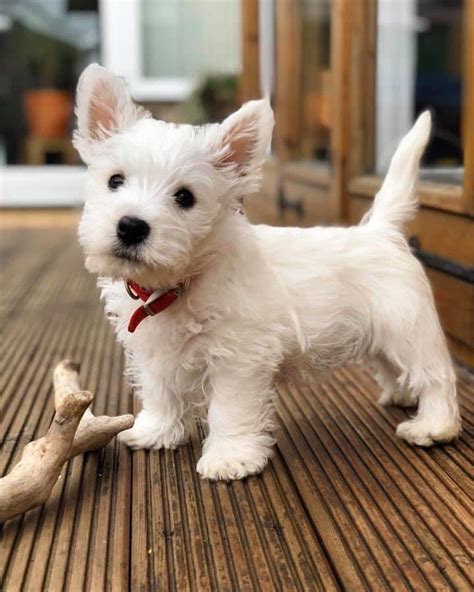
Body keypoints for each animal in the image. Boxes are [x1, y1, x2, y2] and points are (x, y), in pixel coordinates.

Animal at [74, 65, 460, 480]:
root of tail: (382, 231)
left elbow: (228, 410)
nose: (131, 226)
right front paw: (156, 431)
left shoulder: (238, 359)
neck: (182, 282)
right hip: (381, 335)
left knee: (436, 377)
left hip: (408, 329)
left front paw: (229, 456)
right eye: (115, 181)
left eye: (185, 197)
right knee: (395, 367)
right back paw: (401, 395)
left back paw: (433, 426)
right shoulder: (155, 353)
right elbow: (161, 392)